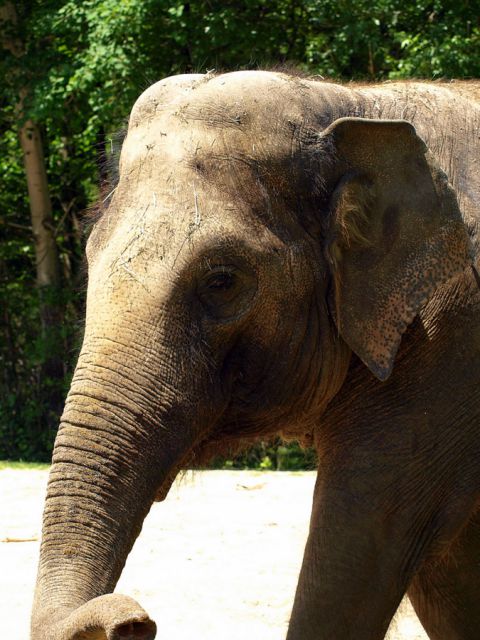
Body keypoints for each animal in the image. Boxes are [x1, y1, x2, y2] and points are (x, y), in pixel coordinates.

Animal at [31, 71, 478, 640]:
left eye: (222, 281)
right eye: (88, 256)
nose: (133, 620)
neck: (354, 103)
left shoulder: (447, 337)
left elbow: (364, 541)